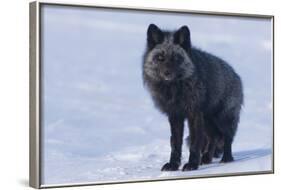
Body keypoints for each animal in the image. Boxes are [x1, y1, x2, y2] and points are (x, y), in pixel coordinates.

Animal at [141, 23, 242, 171]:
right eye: (160, 58)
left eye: (176, 58)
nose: (167, 73)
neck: (175, 90)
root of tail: (236, 75)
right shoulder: (175, 115)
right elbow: (175, 143)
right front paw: (173, 165)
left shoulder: (194, 113)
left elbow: (195, 143)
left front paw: (192, 164)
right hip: (207, 121)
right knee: (213, 138)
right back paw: (206, 158)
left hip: (222, 119)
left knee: (227, 138)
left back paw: (226, 159)